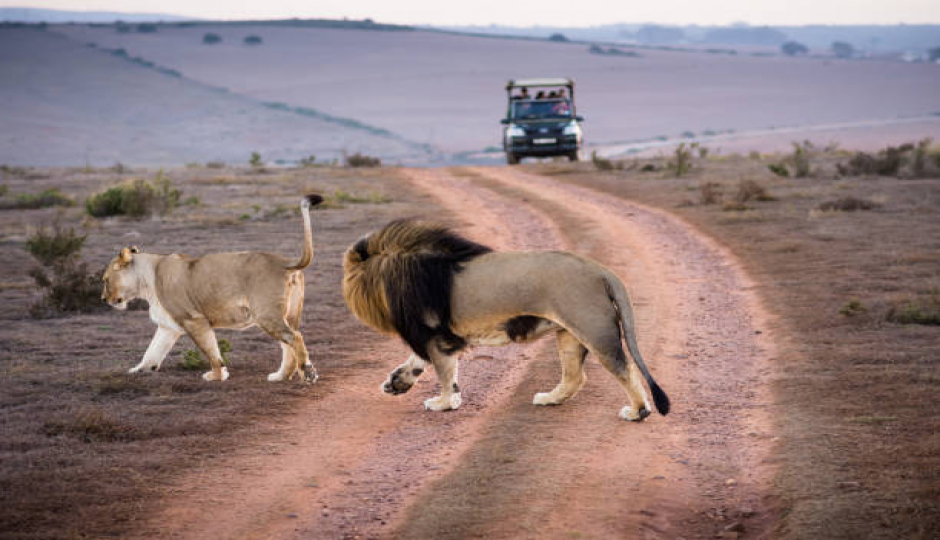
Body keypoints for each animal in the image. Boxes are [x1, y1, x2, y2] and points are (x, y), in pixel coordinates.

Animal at [102, 193, 324, 380]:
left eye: (105, 280)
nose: (103, 299)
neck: (148, 279)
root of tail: (285, 261)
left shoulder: (194, 319)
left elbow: (211, 351)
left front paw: (216, 376)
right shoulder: (168, 326)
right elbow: (152, 351)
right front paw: (138, 370)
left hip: (266, 314)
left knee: (294, 337)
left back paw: (308, 372)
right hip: (288, 314)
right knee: (289, 344)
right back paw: (281, 376)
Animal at [344, 217, 668, 420]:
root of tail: (601, 270)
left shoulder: (434, 335)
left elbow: (445, 374)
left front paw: (444, 403)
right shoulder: (435, 337)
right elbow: (417, 363)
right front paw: (397, 384)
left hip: (593, 329)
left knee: (624, 368)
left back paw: (638, 412)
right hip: (568, 333)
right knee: (576, 376)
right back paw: (550, 398)